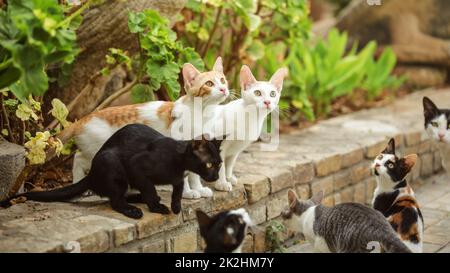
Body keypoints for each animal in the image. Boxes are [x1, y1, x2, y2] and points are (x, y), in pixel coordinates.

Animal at [0, 124, 224, 218]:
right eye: (209, 165)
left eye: (219, 164)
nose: (215, 176)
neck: (179, 162)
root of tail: (91, 174)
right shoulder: (137, 165)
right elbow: (150, 189)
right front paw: (156, 207)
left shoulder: (178, 178)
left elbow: (177, 190)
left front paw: (176, 206)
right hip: (113, 166)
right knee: (116, 200)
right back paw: (133, 210)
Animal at [58, 56, 229, 199]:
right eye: (209, 84)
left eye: (222, 80)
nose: (224, 89)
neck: (202, 113)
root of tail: (85, 118)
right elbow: (185, 173)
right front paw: (187, 193)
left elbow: (195, 173)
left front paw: (199, 189)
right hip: (98, 149)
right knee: (78, 158)